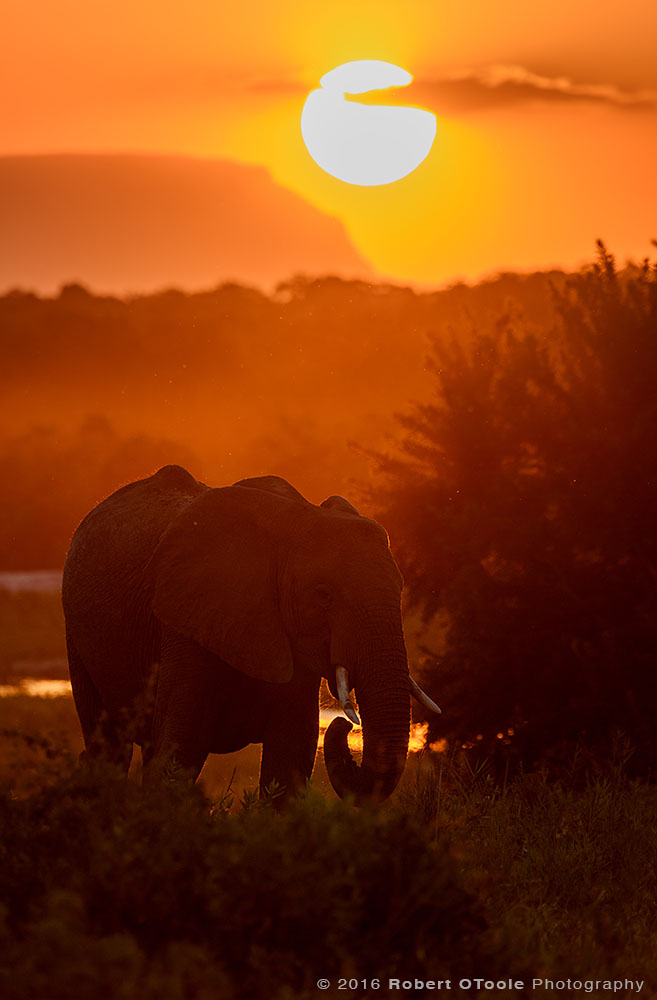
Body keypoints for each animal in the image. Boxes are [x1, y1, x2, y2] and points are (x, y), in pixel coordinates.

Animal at [62, 464, 440, 800]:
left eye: (400, 589)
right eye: (323, 595)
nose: (345, 726)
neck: (296, 519)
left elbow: (290, 757)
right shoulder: (186, 627)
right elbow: (180, 752)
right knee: (108, 743)